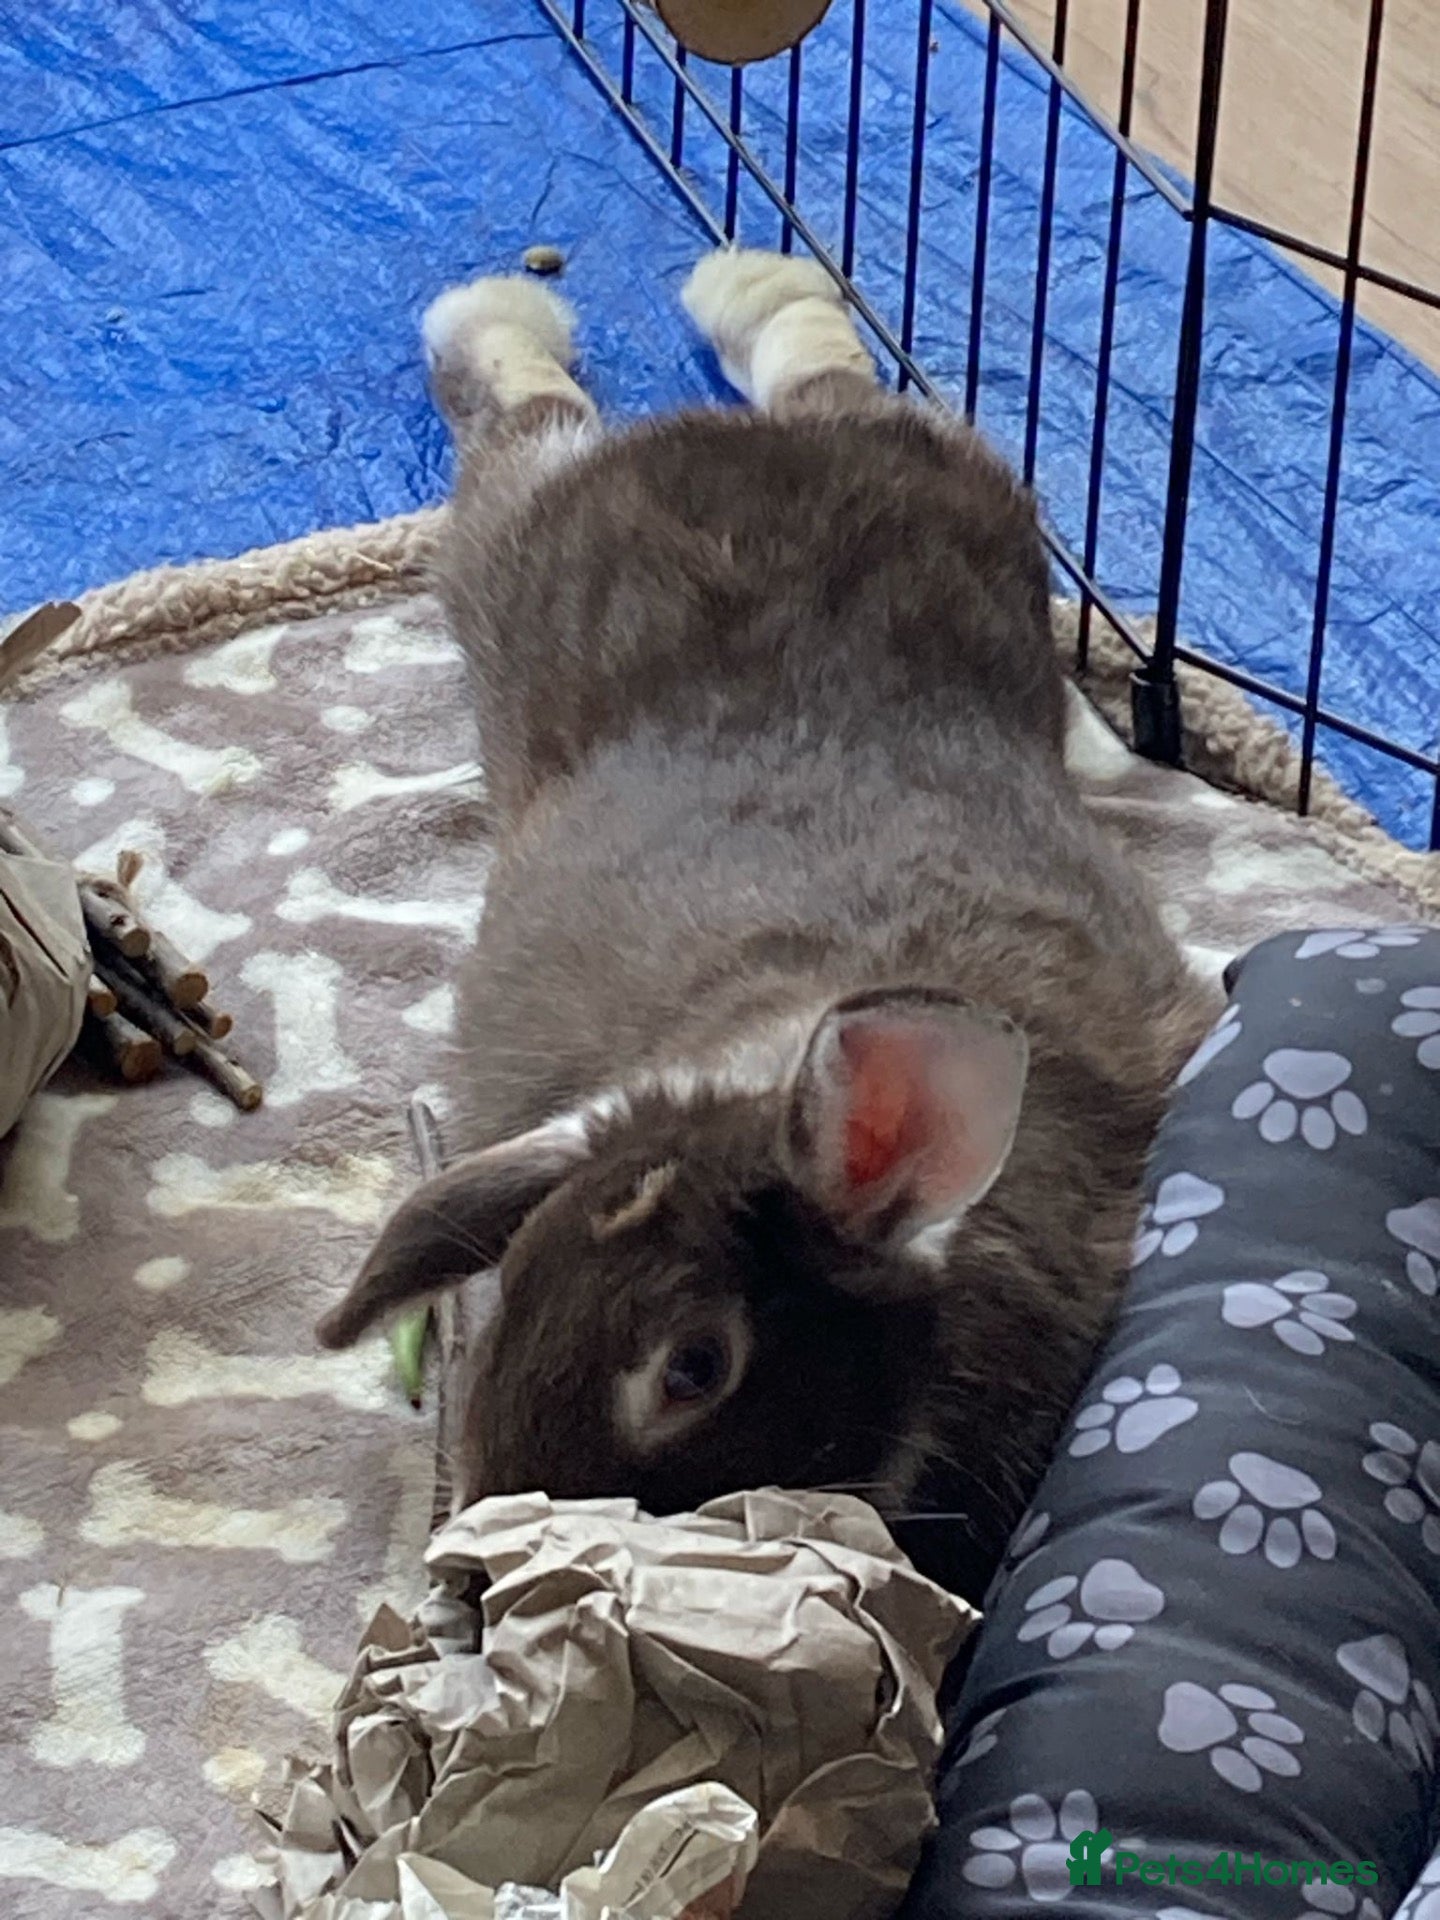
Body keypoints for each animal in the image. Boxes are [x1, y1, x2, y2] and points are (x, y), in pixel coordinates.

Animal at [316, 248, 1216, 1601]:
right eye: (511, 1286)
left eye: (695, 1368)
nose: (475, 1554)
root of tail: (718, 448)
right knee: (580, 408)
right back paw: (665, 294)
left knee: (676, 399)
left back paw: (699, 291)